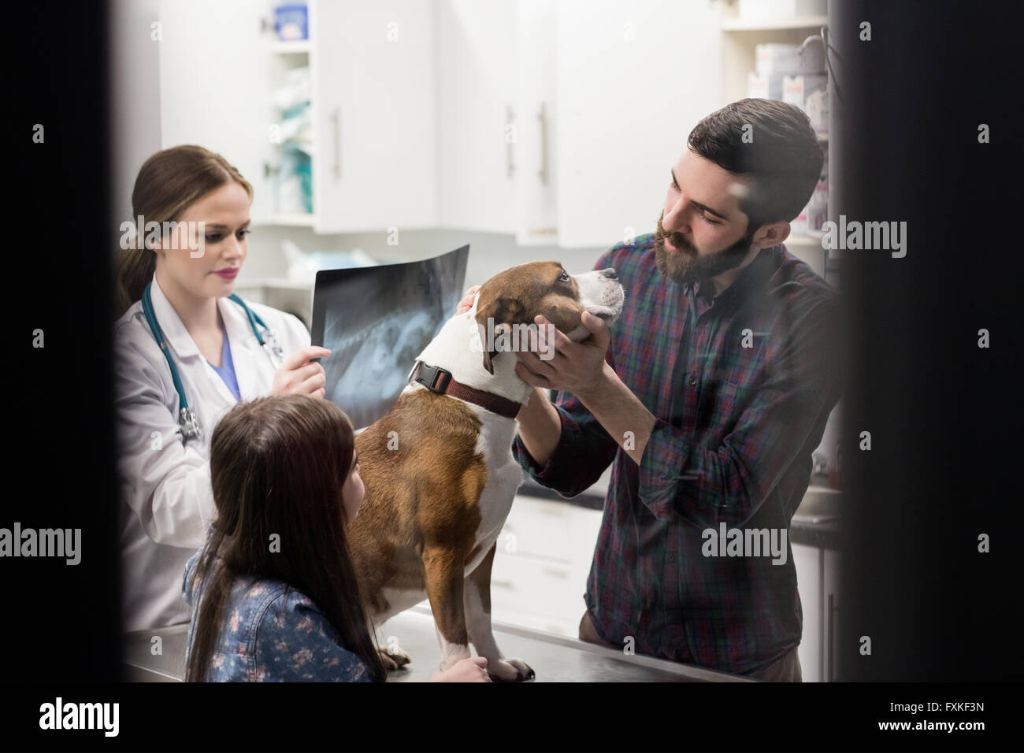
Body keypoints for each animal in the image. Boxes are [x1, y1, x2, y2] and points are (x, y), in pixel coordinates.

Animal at [350, 260, 622, 684]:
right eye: (562, 278)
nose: (612, 270)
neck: (470, 398)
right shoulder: (443, 554)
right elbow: (454, 631)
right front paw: (463, 670)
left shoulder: (480, 555)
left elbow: (481, 619)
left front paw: (497, 664)